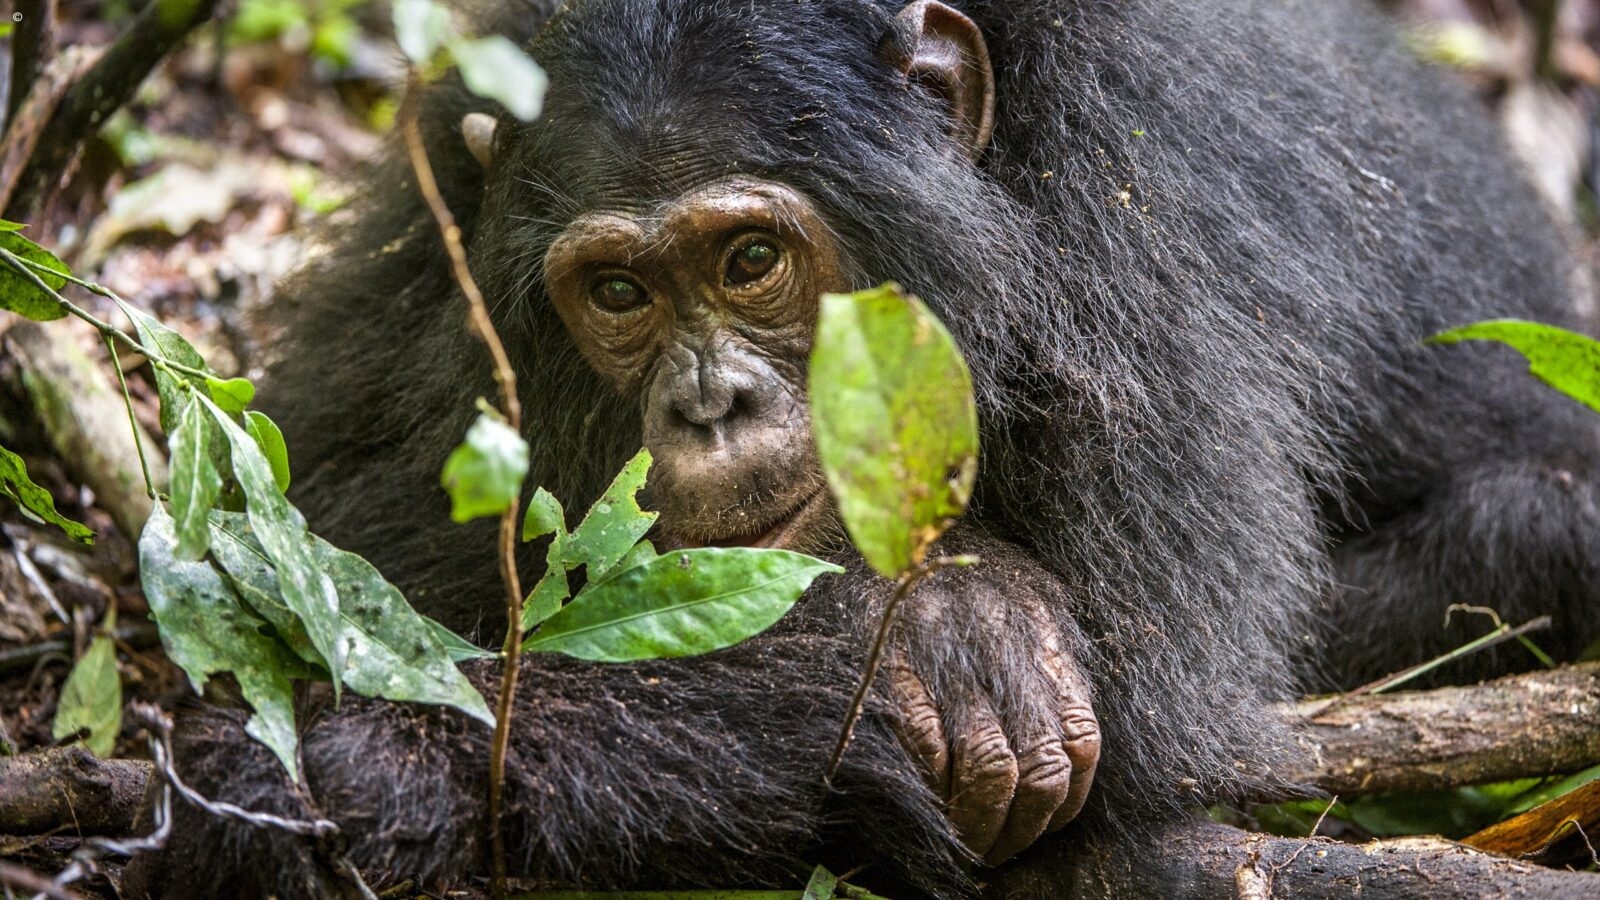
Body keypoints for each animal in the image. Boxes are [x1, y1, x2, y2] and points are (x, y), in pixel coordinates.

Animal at [126, 0, 1600, 897]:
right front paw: (955, 635)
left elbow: (1162, 694)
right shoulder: (425, 254)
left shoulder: (1139, 220)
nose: (708, 405)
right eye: (619, 292)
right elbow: (343, 538)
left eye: (751, 260)